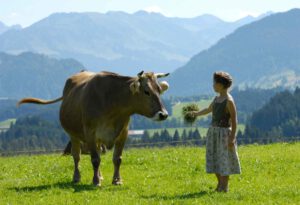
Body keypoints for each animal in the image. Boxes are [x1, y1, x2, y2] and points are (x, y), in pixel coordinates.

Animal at [17, 70, 170, 186]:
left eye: (159, 90)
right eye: (146, 91)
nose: (163, 114)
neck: (113, 103)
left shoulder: (123, 133)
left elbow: (117, 159)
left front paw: (116, 180)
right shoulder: (90, 133)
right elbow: (95, 159)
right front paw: (96, 181)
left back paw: (100, 175)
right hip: (74, 135)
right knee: (77, 156)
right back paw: (77, 177)